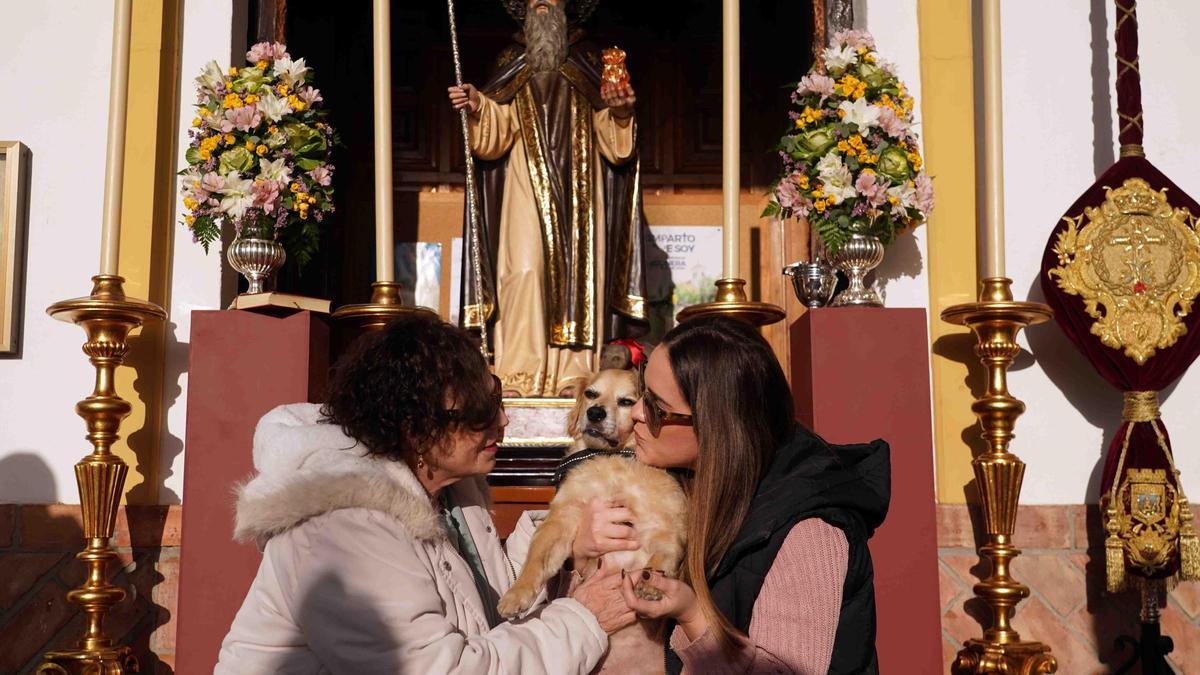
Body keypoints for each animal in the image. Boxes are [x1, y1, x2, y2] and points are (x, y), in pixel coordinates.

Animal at [494, 365, 686, 619]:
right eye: (591, 394)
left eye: (626, 402)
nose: (595, 413)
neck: (613, 458)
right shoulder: (561, 517)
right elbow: (537, 556)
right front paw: (517, 593)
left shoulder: (665, 530)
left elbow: (663, 557)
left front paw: (651, 583)